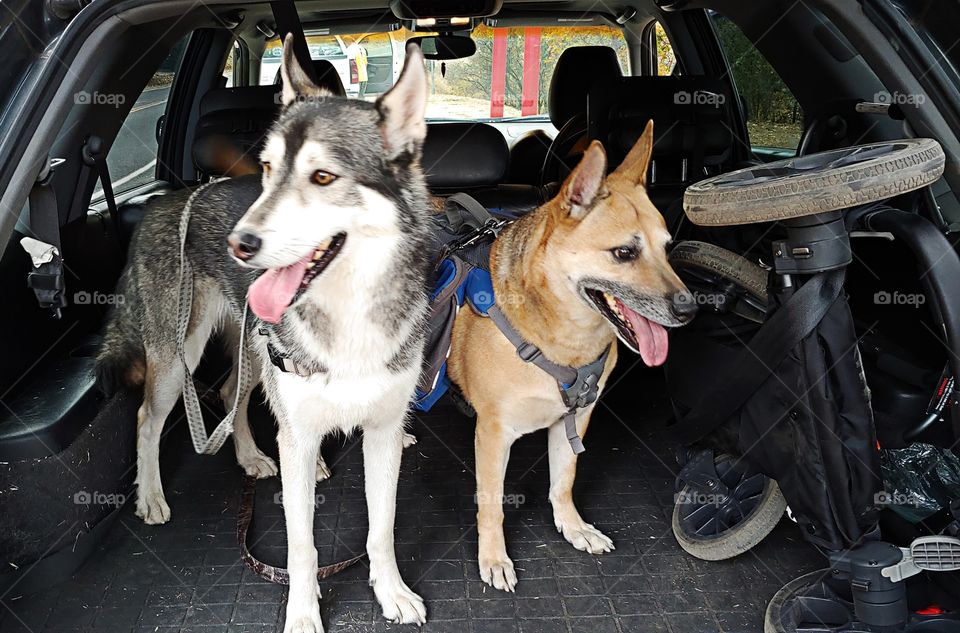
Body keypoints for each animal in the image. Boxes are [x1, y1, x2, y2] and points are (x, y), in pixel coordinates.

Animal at [446, 121, 692, 592]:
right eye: (624, 253)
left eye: (668, 248)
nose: (692, 310)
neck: (565, 337)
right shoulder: (493, 433)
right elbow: (493, 504)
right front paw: (494, 557)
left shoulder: (576, 418)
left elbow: (564, 481)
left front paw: (573, 527)